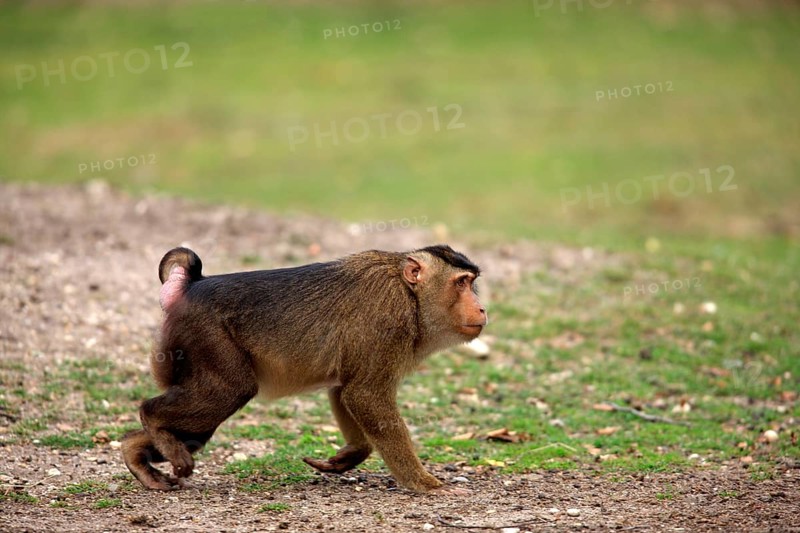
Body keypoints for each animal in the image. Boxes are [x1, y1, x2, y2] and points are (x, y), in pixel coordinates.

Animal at [121, 244, 487, 493]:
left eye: (471, 283)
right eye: (461, 283)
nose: (482, 308)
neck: (410, 295)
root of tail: (191, 285)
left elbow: (345, 389)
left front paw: (351, 455)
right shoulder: (388, 316)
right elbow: (364, 393)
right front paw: (424, 483)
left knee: (199, 429)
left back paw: (137, 453)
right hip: (203, 335)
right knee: (227, 393)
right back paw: (153, 419)